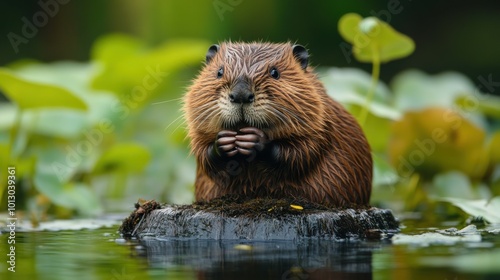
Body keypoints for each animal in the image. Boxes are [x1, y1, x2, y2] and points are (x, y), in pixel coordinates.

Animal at [184, 42, 372, 208]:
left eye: (275, 72)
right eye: (219, 71)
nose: (241, 94)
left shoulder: (322, 120)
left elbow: (304, 151)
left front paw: (254, 140)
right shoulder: (198, 132)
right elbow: (203, 153)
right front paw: (224, 141)